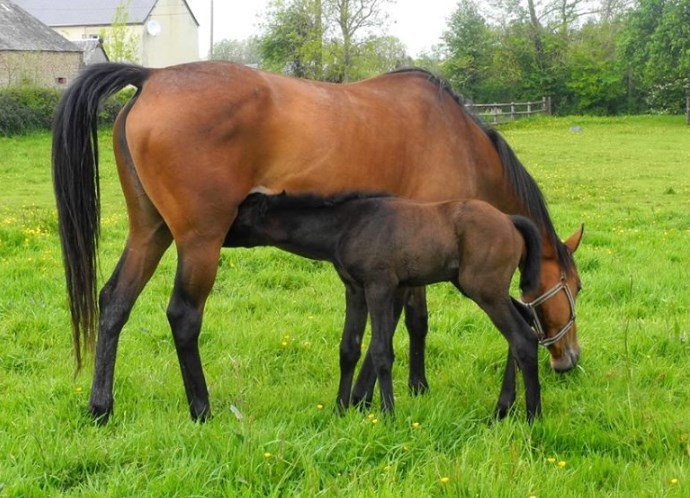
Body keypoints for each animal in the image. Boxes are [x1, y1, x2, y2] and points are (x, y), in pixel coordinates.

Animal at [227, 191, 544, 420]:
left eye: (238, 213)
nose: (220, 234)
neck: (348, 225)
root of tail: (509, 220)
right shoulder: (354, 290)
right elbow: (349, 348)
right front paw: (340, 409)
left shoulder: (379, 287)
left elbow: (381, 350)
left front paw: (388, 414)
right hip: (479, 288)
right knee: (524, 320)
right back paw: (503, 409)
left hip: (484, 289)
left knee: (523, 338)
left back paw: (532, 417)